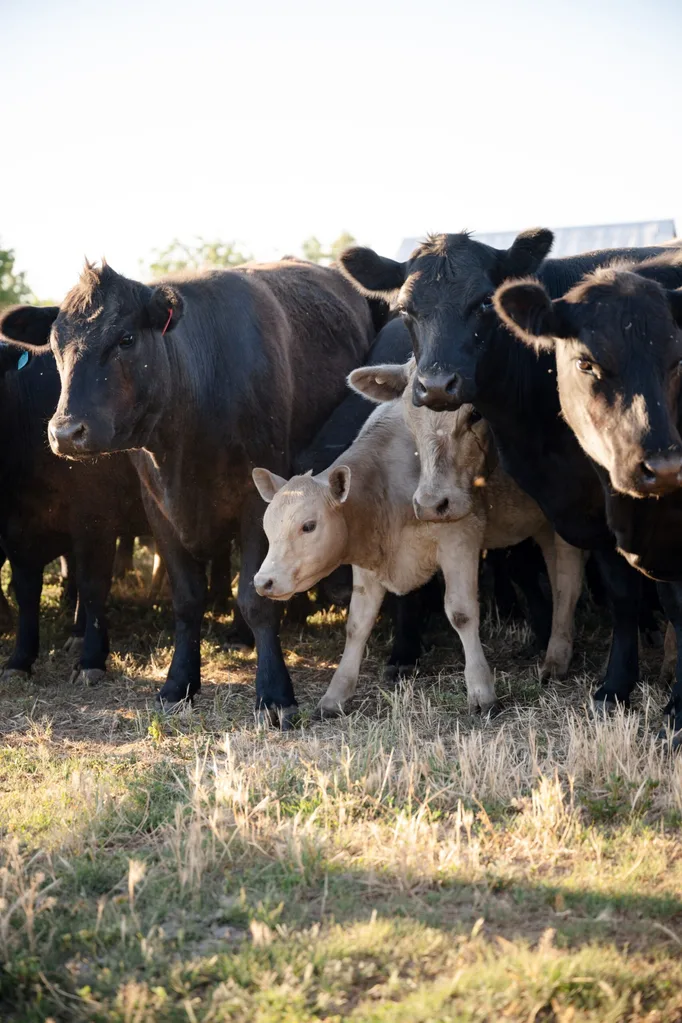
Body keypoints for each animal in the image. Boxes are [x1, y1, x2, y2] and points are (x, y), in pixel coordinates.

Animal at [0, 342, 147, 682]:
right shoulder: (16, 530)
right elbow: (27, 593)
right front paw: (20, 660)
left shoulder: (95, 521)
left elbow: (92, 586)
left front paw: (92, 658)